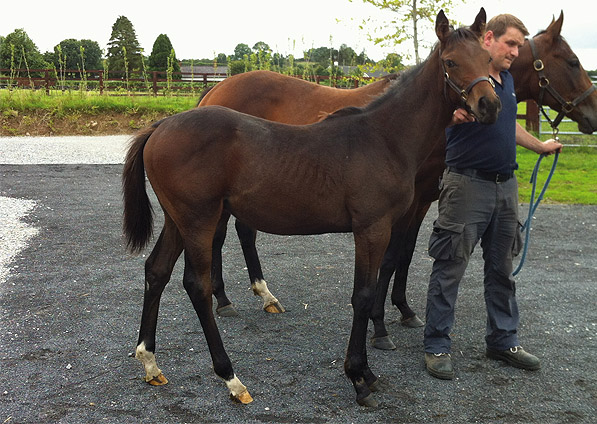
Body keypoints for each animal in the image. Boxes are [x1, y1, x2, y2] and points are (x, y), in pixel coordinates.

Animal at [122, 8, 498, 408]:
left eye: (487, 59)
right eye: (450, 62)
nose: (490, 106)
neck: (385, 138)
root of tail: (160, 126)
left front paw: (367, 370)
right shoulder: (372, 228)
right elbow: (363, 295)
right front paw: (359, 376)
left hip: (178, 220)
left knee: (156, 271)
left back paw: (150, 362)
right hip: (198, 220)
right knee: (197, 285)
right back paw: (232, 378)